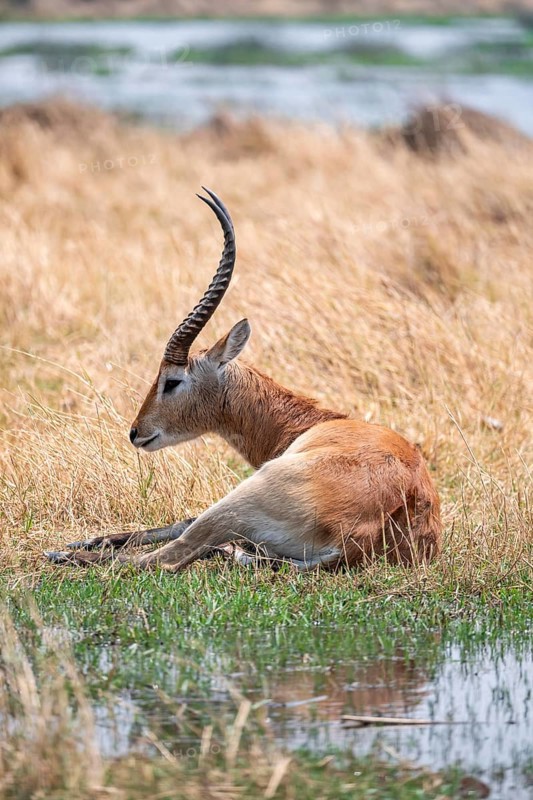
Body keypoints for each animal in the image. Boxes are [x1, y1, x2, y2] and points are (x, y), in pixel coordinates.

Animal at [46, 189, 442, 573]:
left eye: (171, 381)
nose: (135, 432)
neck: (313, 426)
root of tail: (359, 538)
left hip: (240, 498)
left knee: (166, 558)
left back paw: (62, 554)